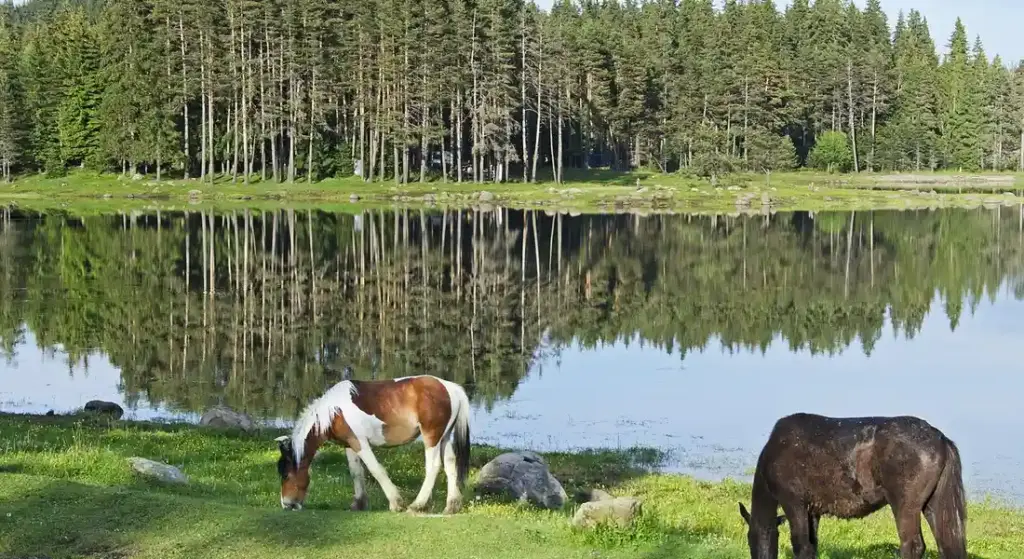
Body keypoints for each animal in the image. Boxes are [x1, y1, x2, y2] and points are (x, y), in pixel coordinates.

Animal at [274, 375, 471, 514]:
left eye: (286, 475)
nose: (287, 504)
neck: (333, 411)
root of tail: (450, 387)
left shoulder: (360, 443)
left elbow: (376, 470)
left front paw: (396, 503)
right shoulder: (350, 445)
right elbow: (356, 473)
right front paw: (358, 504)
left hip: (432, 436)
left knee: (433, 466)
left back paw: (417, 505)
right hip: (444, 437)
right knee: (450, 464)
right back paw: (451, 506)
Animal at [738, 413, 967, 559]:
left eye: (749, 539)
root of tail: (941, 439)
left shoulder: (794, 504)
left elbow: (801, 546)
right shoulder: (812, 511)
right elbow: (811, 545)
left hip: (905, 506)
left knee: (912, 546)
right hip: (933, 505)